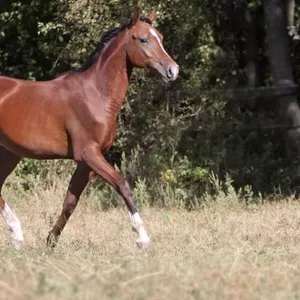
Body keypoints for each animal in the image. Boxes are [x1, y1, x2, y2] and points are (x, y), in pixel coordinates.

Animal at [0, 9, 178, 248]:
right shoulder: (89, 154)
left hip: (10, 153)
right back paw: (17, 233)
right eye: (143, 39)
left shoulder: (87, 163)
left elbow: (70, 203)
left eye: (161, 37)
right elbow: (123, 185)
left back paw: (17, 236)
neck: (95, 94)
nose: (172, 70)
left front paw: (50, 243)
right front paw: (142, 238)